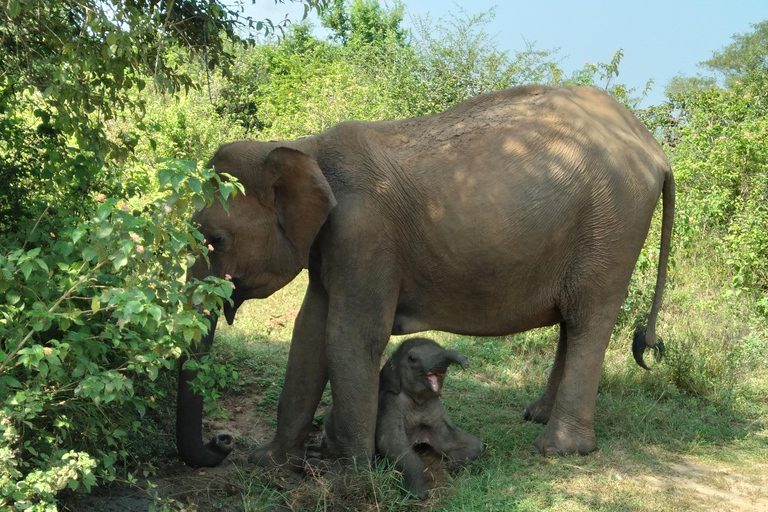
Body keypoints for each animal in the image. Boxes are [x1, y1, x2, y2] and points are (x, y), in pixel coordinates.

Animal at [177, 84, 676, 468]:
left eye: (214, 239)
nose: (222, 443)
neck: (307, 148)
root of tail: (653, 147)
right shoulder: (333, 245)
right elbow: (310, 332)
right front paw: (271, 460)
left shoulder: (365, 234)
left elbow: (350, 335)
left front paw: (351, 466)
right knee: (572, 321)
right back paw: (535, 415)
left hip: (613, 226)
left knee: (590, 318)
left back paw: (557, 450)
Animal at [322, 338, 480, 498]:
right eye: (412, 358)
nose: (466, 365)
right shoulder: (390, 404)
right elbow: (391, 443)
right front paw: (418, 495)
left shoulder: (434, 408)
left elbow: (467, 442)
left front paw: (453, 467)